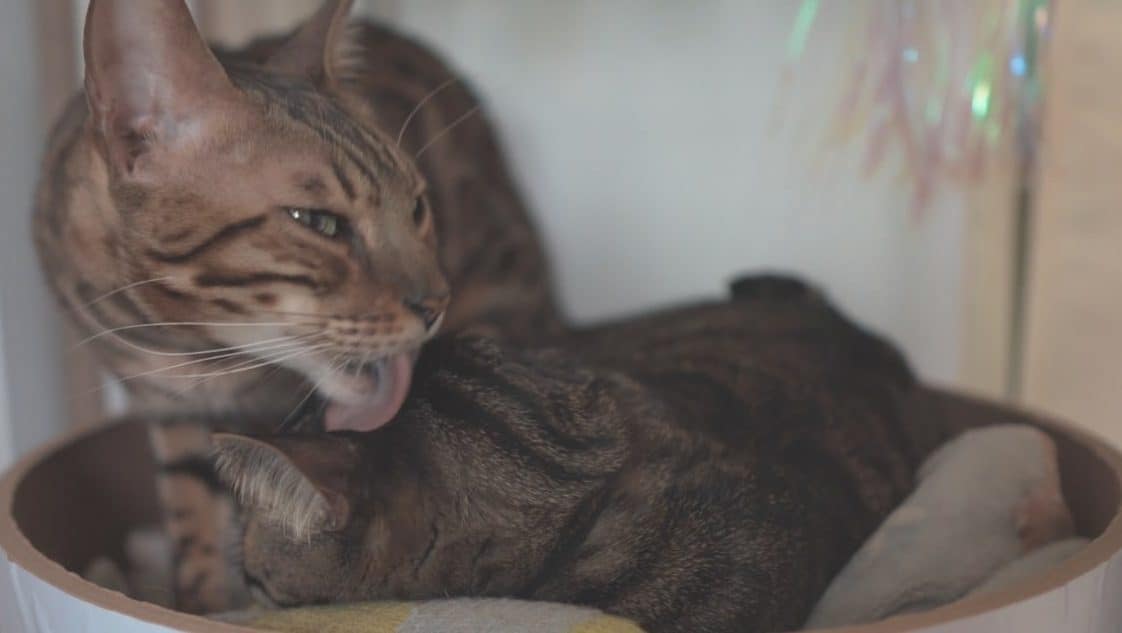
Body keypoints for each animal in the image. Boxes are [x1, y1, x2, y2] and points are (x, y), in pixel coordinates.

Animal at [32, 0, 558, 615]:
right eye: (319, 223)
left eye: (417, 208)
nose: (436, 303)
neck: (191, 349)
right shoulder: (166, 405)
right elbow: (194, 509)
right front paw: (200, 601)